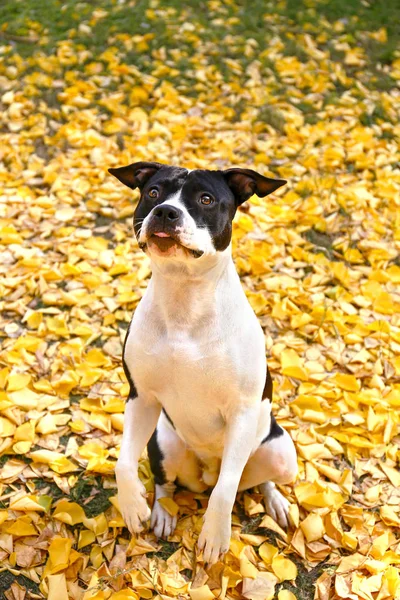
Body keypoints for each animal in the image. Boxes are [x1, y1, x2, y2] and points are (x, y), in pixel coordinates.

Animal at [108, 162, 296, 564]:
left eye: (206, 199)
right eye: (153, 192)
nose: (165, 212)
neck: (185, 300)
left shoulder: (242, 411)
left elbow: (225, 492)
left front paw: (214, 536)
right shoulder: (141, 399)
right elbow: (123, 463)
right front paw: (132, 506)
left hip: (280, 453)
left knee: (250, 481)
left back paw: (274, 501)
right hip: (163, 441)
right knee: (165, 482)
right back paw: (162, 513)